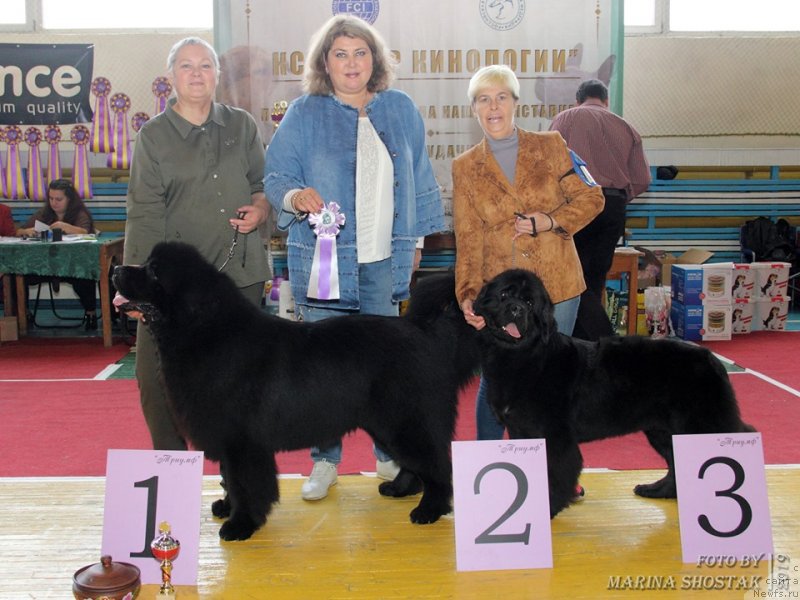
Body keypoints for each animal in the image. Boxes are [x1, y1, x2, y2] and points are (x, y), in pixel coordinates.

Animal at [110, 241, 478, 540]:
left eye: (154, 271)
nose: (116, 269)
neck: (206, 332)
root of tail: (426, 333)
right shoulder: (229, 440)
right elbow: (230, 477)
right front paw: (226, 507)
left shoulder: (243, 440)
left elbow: (246, 484)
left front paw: (241, 525)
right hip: (388, 424)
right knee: (416, 463)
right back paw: (400, 489)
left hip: (405, 420)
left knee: (437, 465)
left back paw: (429, 510)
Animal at [472, 270, 752, 516]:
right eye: (505, 294)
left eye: (530, 303)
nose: (517, 309)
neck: (523, 357)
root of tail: (711, 359)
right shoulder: (520, 429)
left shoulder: (555, 435)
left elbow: (555, 472)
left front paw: (548, 508)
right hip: (662, 430)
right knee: (675, 462)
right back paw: (656, 490)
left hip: (697, 426)